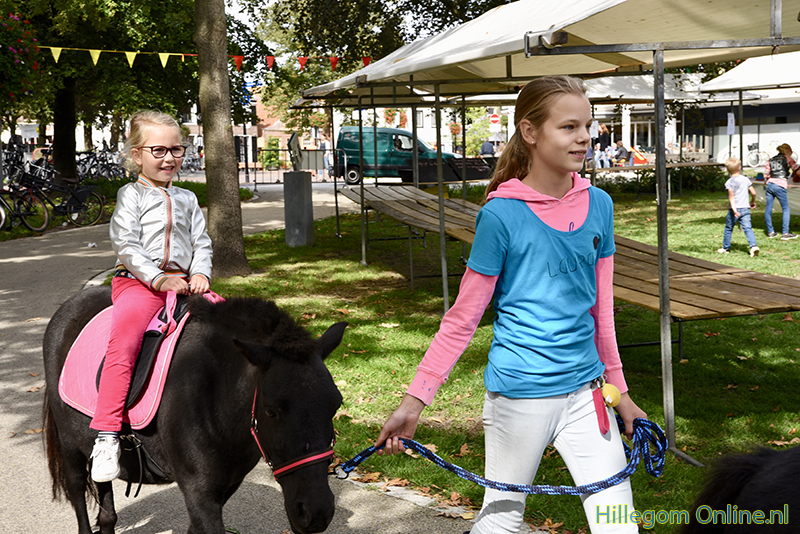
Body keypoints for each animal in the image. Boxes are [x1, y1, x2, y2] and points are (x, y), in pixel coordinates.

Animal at [43, 286, 346, 534]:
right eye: (272, 411)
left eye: (336, 405)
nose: (315, 512)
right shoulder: (199, 491)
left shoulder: (225, 486)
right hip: (69, 445)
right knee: (78, 491)